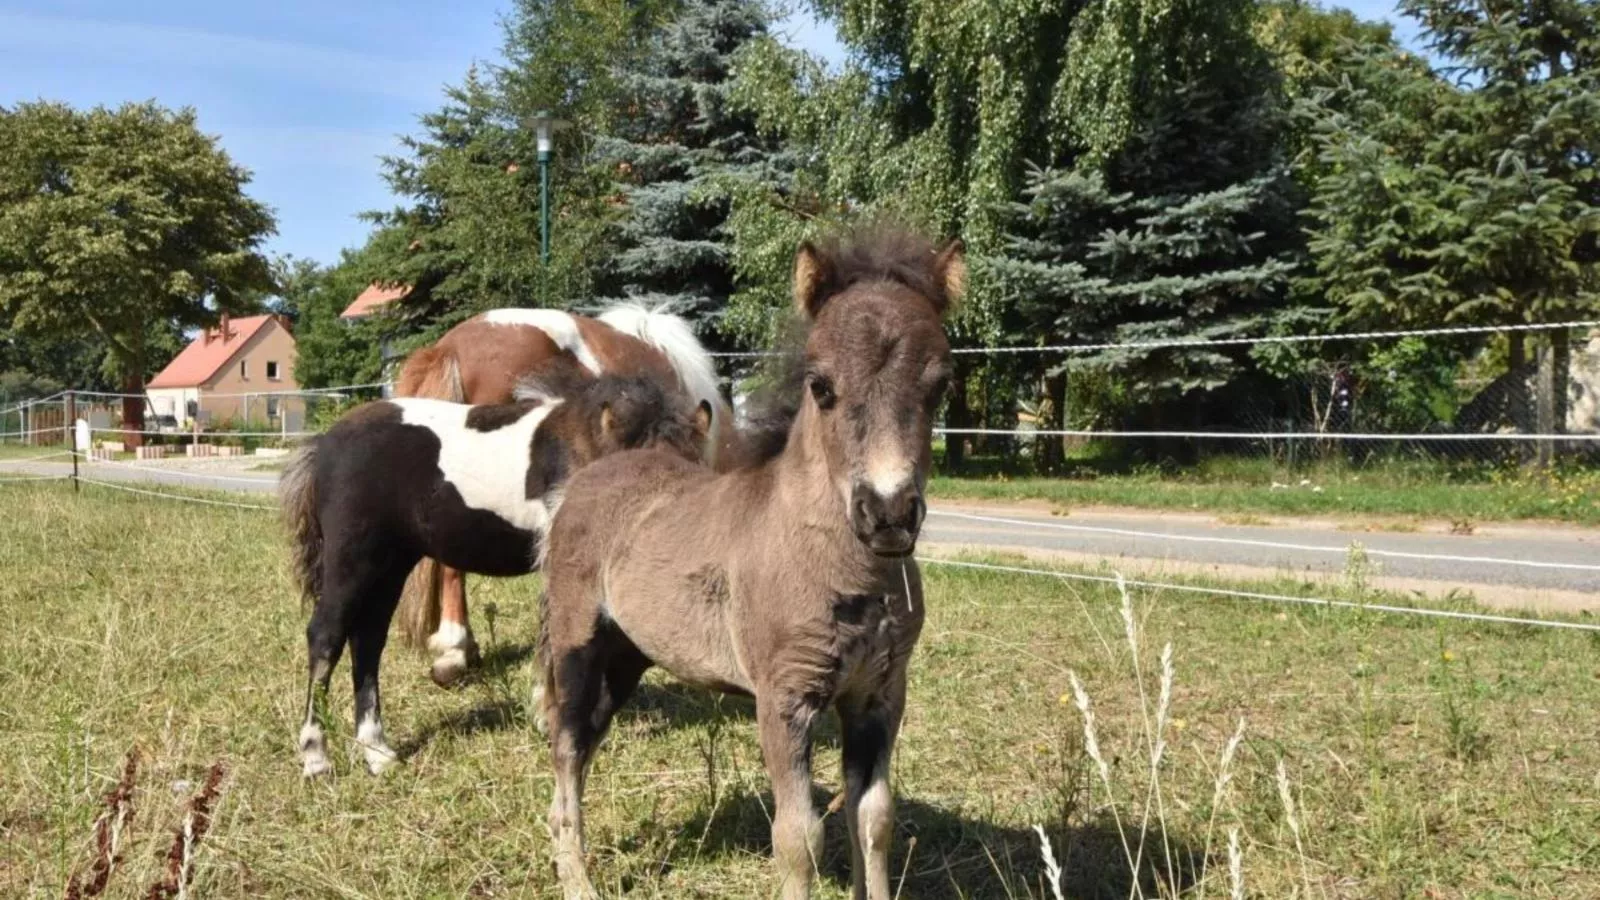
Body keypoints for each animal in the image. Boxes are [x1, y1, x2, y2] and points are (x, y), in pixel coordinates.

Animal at [537, 230, 960, 896]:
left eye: (941, 385)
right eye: (820, 386)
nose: (888, 512)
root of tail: (593, 473)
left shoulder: (880, 694)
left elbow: (874, 820)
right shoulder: (784, 699)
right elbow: (799, 838)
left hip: (628, 655)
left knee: (588, 738)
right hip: (578, 644)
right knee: (567, 746)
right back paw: (577, 879)